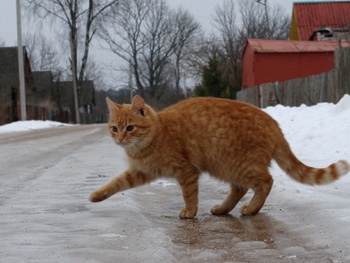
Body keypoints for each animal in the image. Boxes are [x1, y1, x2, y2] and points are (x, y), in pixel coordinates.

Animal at [89, 96, 348, 220]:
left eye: (130, 128)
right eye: (114, 128)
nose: (119, 139)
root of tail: (274, 123)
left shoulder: (186, 171)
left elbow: (189, 194)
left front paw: (190, 211)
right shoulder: (140, 172)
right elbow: (116, 182)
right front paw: (97, 195)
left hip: (235, 165)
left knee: (266, 182)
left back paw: (252, 209)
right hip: (227, 167)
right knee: (240, 188)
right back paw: (223, 209)